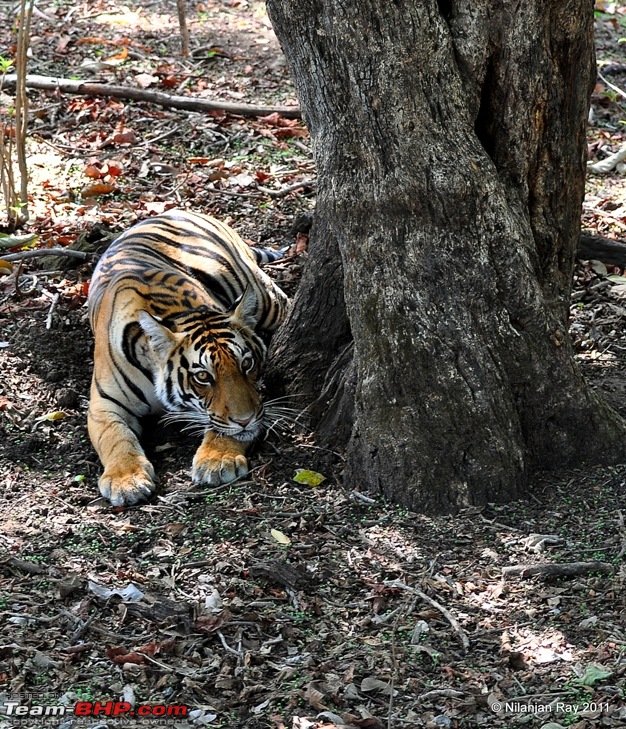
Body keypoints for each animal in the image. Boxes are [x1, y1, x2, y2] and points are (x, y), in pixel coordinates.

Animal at [86, 209, 288, 506]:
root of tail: (178, 210)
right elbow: (114, 437)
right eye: (203, 376)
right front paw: (126, 480)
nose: (246, 420)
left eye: (246, 363)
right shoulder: (104, 404)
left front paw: (218, 460)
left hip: (266, 299)